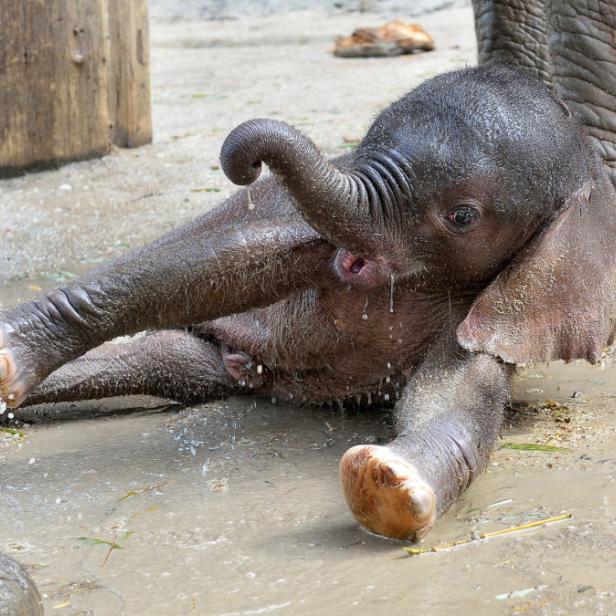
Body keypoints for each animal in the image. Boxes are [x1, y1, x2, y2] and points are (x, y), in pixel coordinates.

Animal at [1, 65, 616, 540]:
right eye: (366, 143)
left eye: (461, 216)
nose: (246, 162)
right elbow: (224, 260)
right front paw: (10, 352)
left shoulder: (501, 300)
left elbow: (457, 394)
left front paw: (388, 484)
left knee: (162, 364)